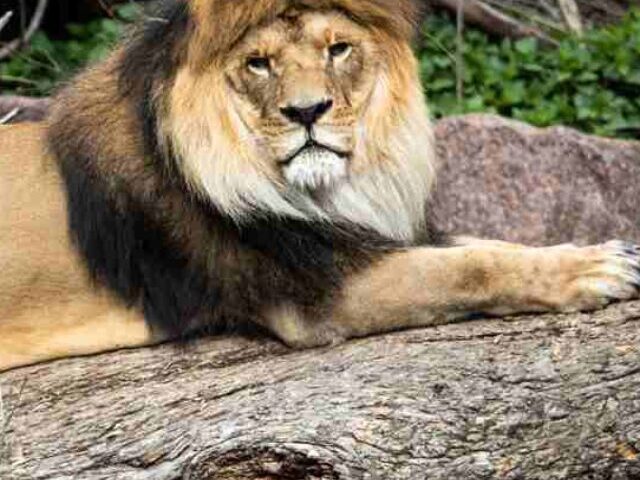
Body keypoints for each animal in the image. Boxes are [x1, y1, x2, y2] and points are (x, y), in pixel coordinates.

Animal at [0, 0, 638, 372]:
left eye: (338, 49)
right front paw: (596, 270)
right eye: (258, 63)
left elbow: (489, 245)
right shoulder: (321, 291)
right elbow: (468, 269)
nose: (307, 111)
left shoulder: (357, 236)